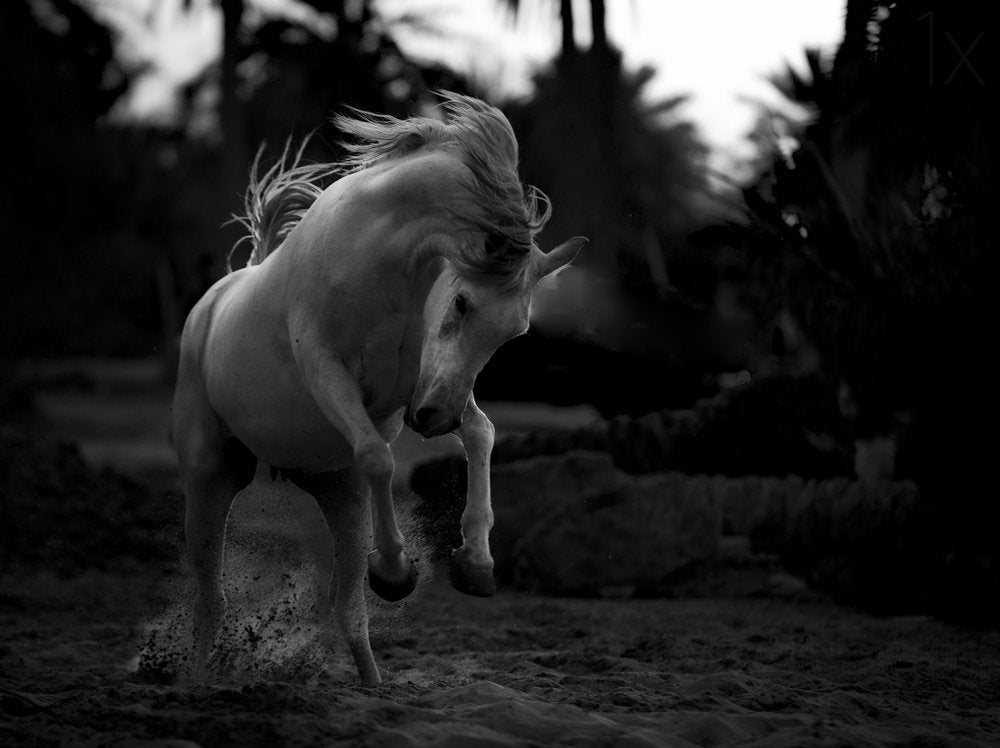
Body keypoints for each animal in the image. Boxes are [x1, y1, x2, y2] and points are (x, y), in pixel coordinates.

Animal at [170, 92, 587, 685]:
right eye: (463, 302)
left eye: (516, 332)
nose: (434, 421)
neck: (377, 256)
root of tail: (213, 302)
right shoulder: (328, 369)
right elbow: (378, 456)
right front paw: (395, 570)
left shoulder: (423, 384)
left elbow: (481, 433)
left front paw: (475, 564)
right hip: (211, 479)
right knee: (213, 598)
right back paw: (201, 681)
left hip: (338, 493)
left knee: (348, 610)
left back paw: (372, 684)